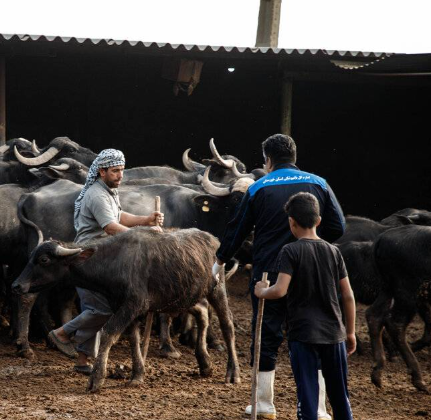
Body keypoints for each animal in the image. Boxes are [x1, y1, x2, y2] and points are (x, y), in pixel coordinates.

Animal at [12, 228, 243, 392]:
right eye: (31, 256)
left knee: (227, 325)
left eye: (44, 260)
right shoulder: (124, 307)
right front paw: (137, 375)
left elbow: (109, 333)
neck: (114, 261)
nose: (17, 285)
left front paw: (96, 379)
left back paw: (233, 373)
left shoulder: (133, 304)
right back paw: (205, 363)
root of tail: (213, 239)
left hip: (217, 289)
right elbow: (133, 338)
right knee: (203, 313)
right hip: (184, 296)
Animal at [366, 226, 431, 394]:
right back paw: (419, 380)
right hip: (407, 292)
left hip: (388, 288)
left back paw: (377, 373)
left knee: (373, 315)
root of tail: (382, 238)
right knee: (395, 324)